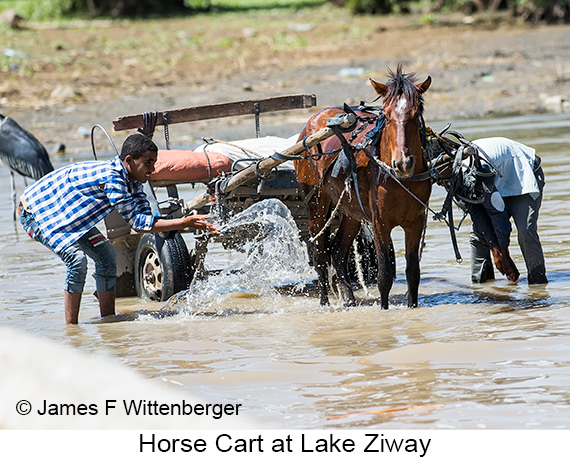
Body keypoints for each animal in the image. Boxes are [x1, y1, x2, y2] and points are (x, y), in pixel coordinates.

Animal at [292, 66, 430, 308]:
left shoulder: (416, 221)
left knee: (338, 252)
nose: (402, 163)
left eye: (415, 114)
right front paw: (384, 310)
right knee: (320, 255)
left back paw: (348, 298)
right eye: (386, 115)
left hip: (351, 211)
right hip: (316, 205)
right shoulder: (380, 222)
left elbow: (413, 273)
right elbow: (385, 275)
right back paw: (324, 302)